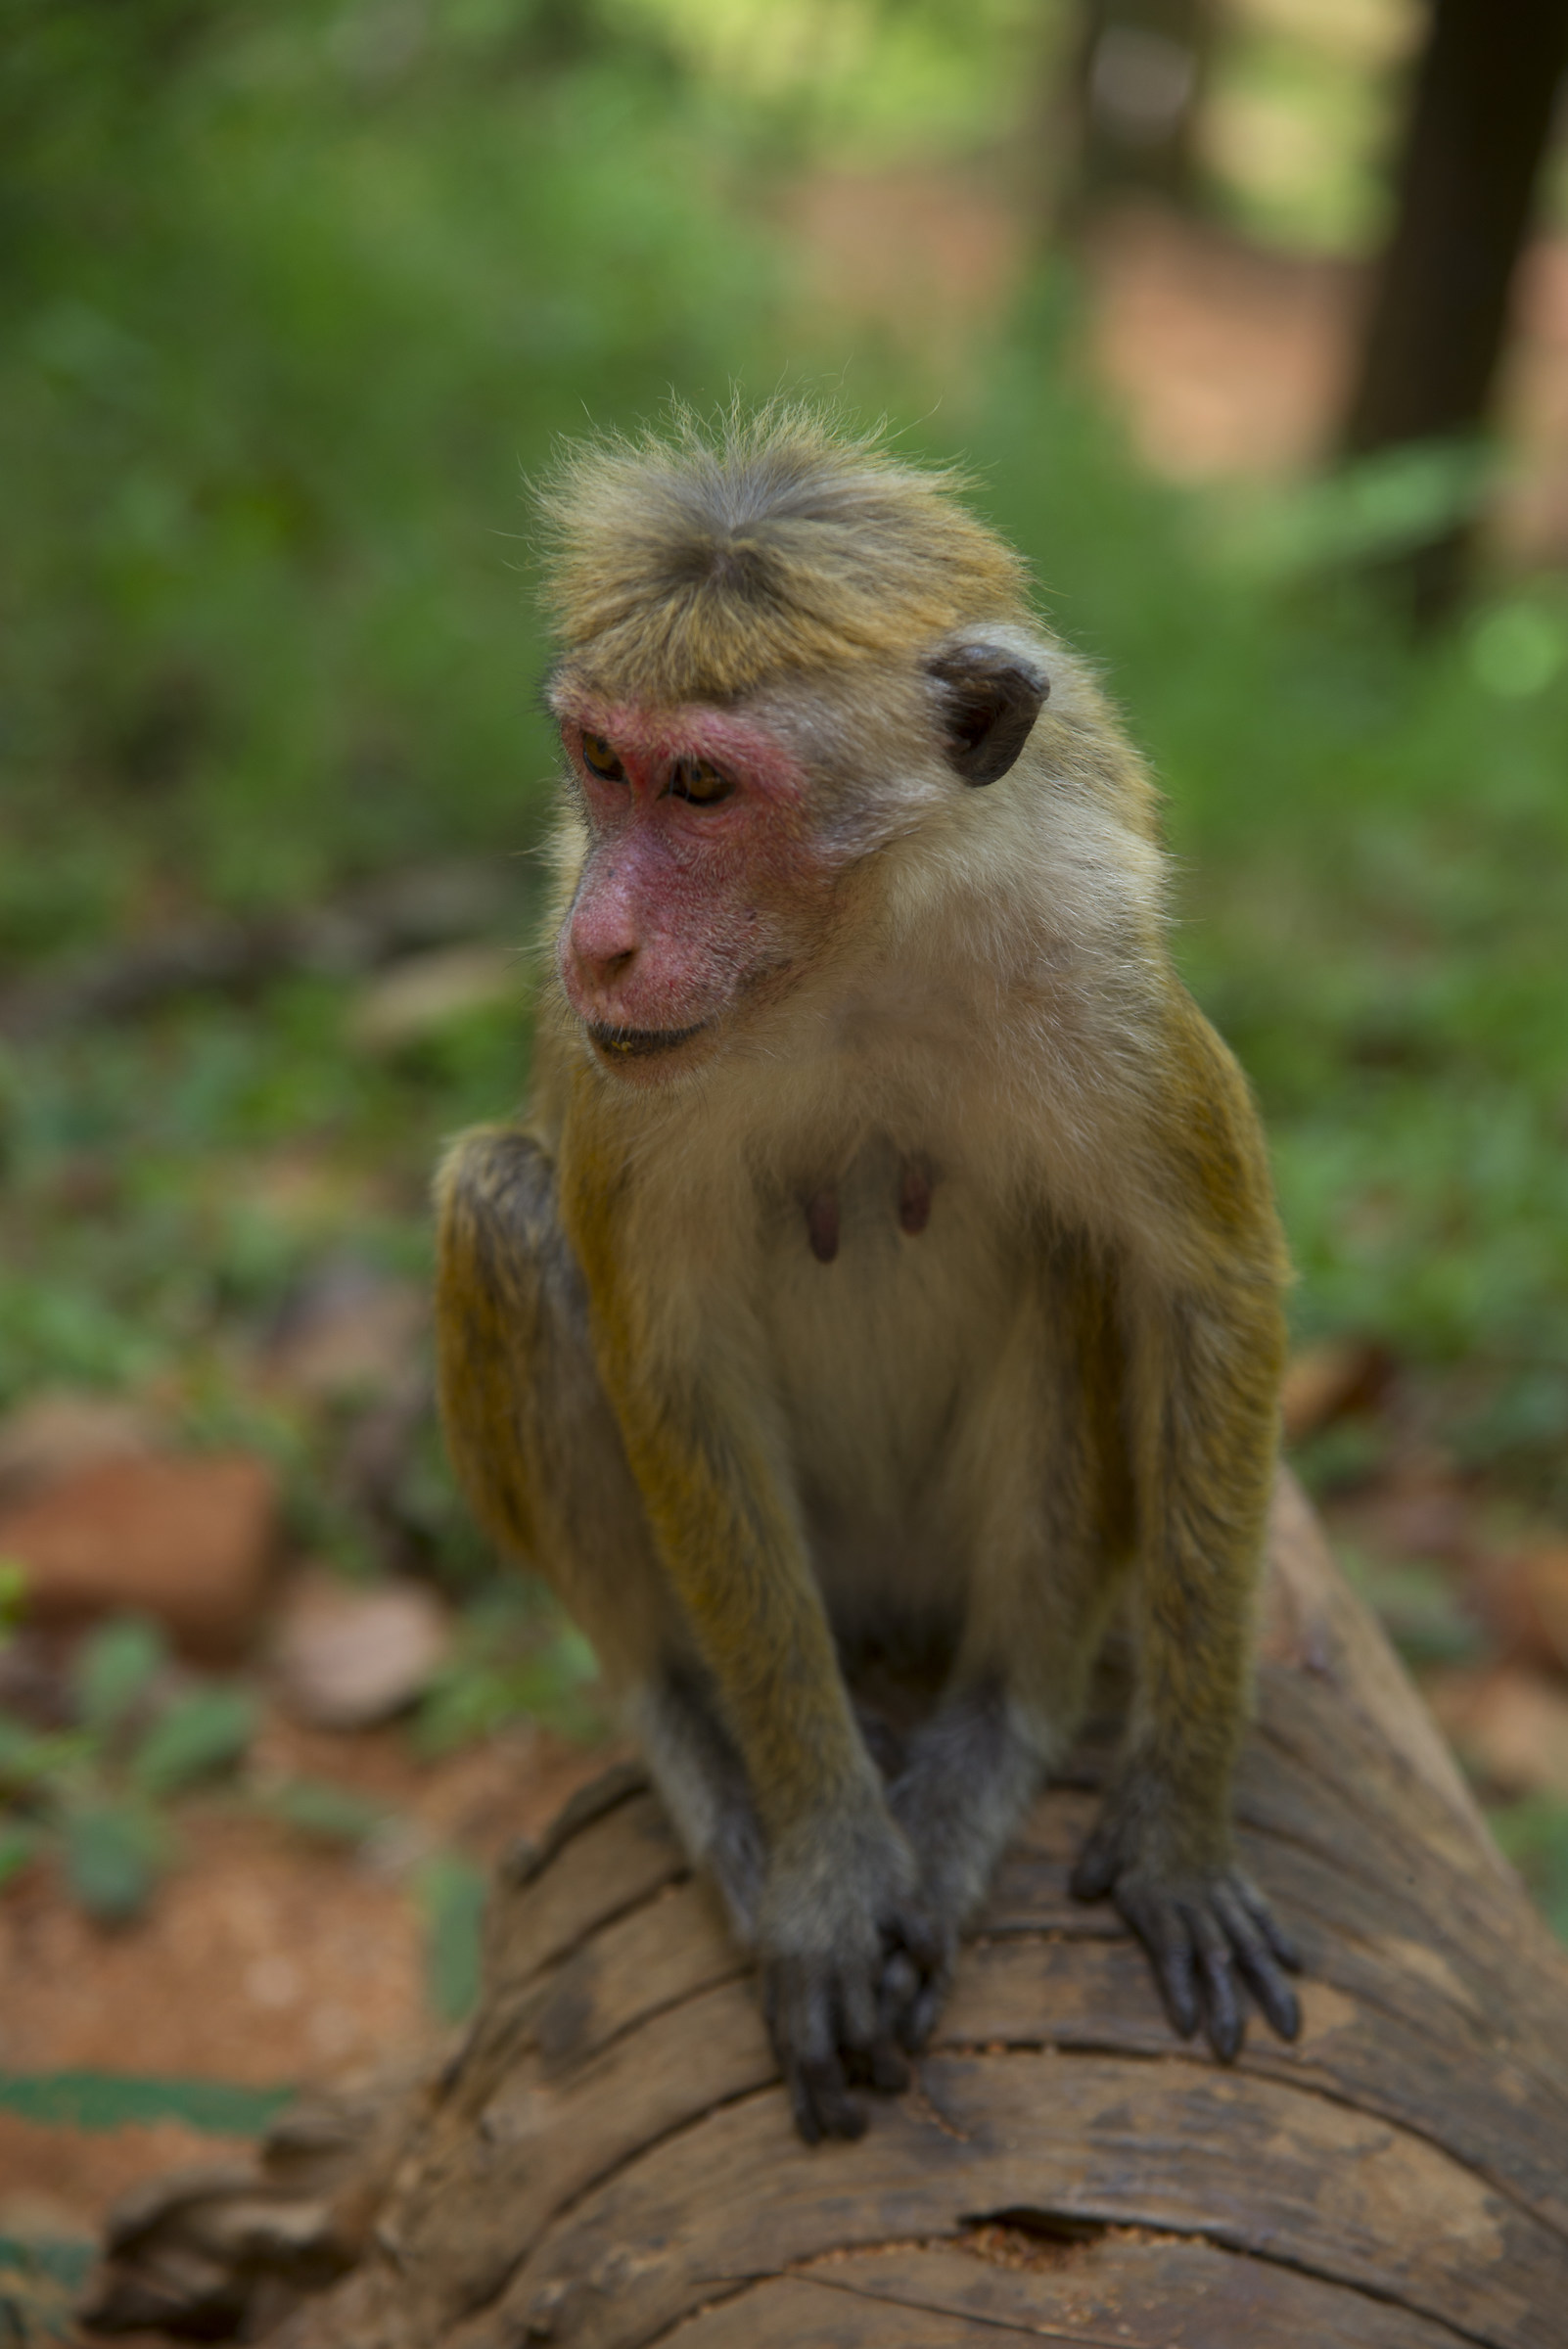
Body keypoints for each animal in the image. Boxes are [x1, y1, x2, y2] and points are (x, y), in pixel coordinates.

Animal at [435, 403, 1301, 2145]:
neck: (844, 956)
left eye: (705, 785)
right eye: (604, 767)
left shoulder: (1096, 977)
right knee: (499, 1198)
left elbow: (1204, 1287)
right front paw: (829, 1866)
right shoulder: (625, 1070)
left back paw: (998, 1726)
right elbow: (670, 1365)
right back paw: (697, 1738)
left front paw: (1181, 1827)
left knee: (1068, 1259)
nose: (597, 942)